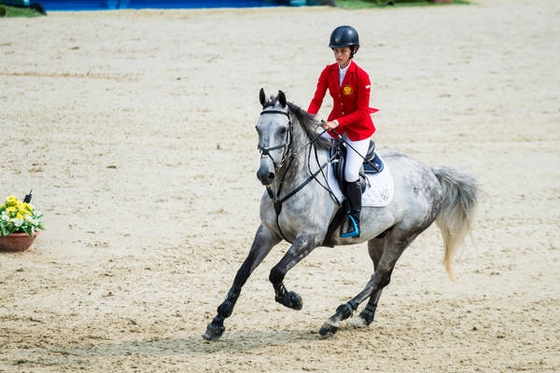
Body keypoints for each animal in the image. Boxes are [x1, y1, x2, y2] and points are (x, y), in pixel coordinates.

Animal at [203, 88, 480, 340]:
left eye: (282, 130)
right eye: (258, 128)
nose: (265, 174)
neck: (289, 182)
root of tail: (431, 173)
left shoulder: (310, 237)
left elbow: (276, 272)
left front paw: (293, 300)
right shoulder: (268, 231)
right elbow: (242, 272)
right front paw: (217, 322)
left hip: (403, 235)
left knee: (381, 276)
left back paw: (336, 318)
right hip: (379, 237)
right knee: (380, 275)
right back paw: (364, 316)